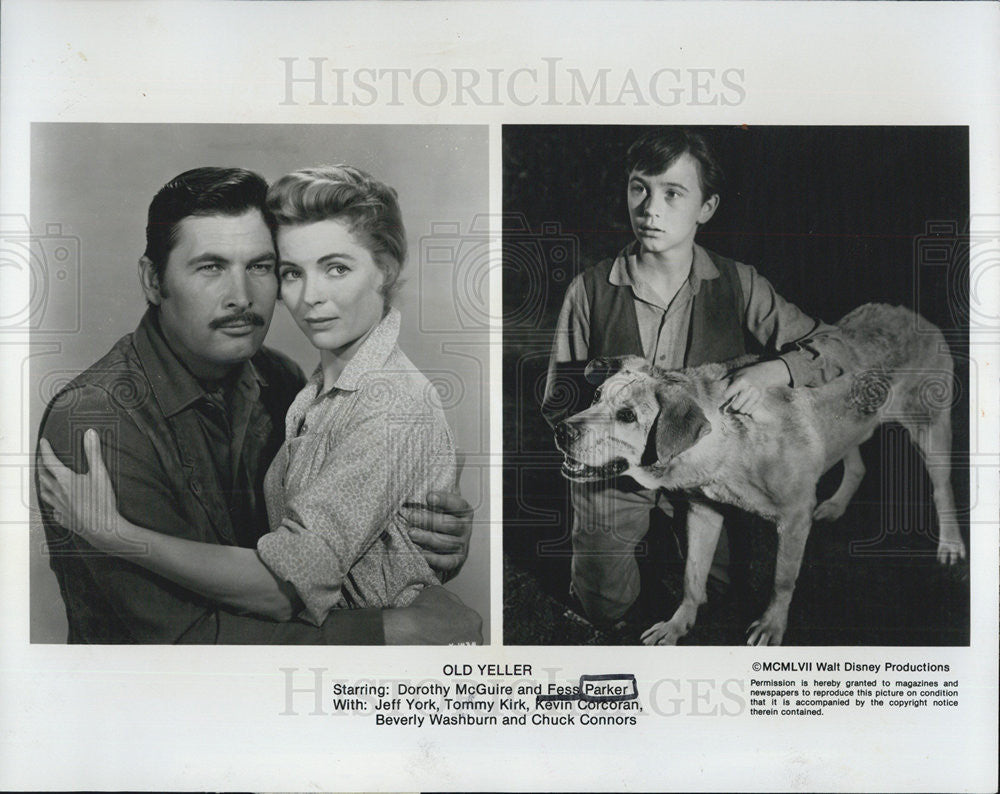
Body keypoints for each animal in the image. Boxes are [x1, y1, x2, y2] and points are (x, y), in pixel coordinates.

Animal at [556, 304, 968, 644]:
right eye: (596, 397)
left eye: (627, 415)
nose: (562, 431)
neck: (725, 439)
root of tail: (912, 314)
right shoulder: (703, 512)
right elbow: (692, 575)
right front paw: (678, 624)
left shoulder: (795, 519)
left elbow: (782, 580)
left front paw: (771, 625)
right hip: (848, 428)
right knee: (857, 464)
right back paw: (836, 505)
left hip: (931, 429)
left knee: (943, 488)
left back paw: (950, 544)